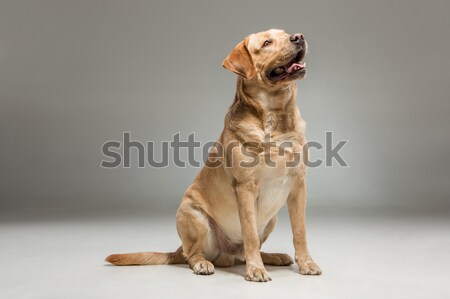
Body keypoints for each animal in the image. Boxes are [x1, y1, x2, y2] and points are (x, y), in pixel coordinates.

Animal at [107, 29, 322, 282]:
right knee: (194, 254)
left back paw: (273, 256)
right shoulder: (245, 187)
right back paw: (204, 263)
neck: (277, 116)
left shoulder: (299, 185)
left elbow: (300, 232)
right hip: (193, 215)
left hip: (271, 219)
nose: (298, 37)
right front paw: (255, 270)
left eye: (286, 34)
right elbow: (249, 233)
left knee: (245, 252)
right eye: (267, 43)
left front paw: (306, 263)